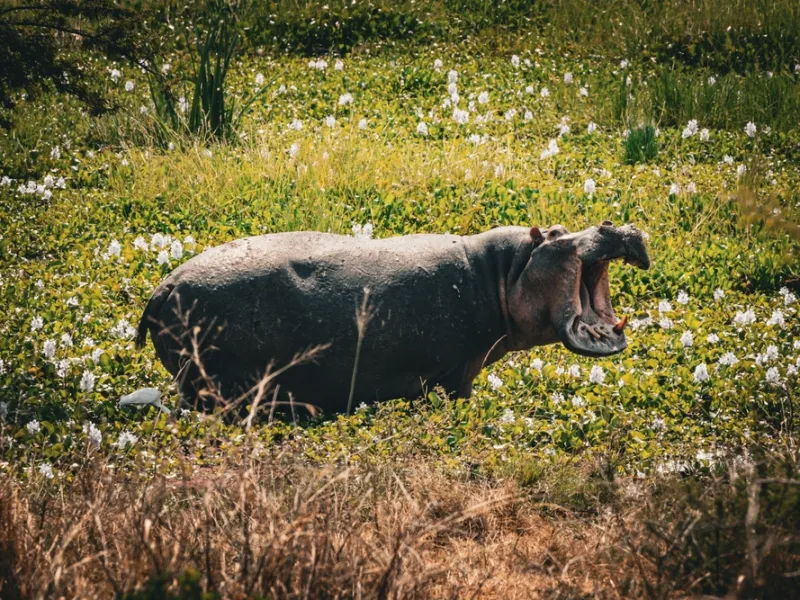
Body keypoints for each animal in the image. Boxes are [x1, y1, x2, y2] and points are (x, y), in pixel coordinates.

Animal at [135, 222, 650, 416]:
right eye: (558, 234)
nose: (613, 225)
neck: (503, 273)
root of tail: (163, 287)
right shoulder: (456, 373)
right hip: (209, 384)